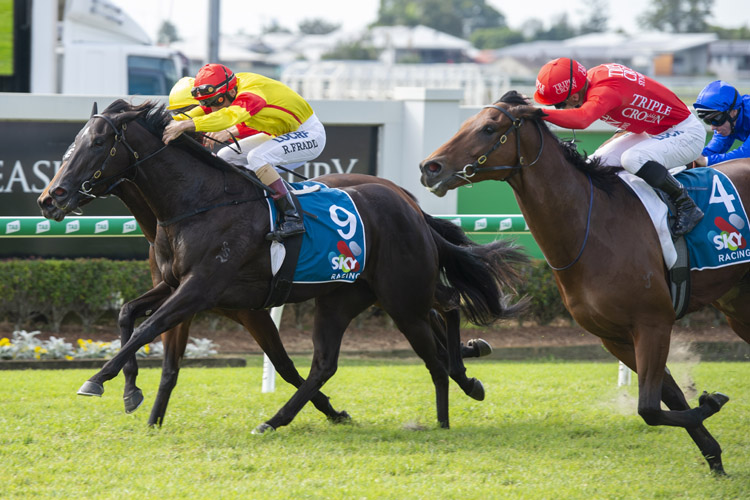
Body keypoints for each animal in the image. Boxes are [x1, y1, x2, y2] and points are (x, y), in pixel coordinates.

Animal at [41, 99, 528, 432]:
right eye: (72, 143)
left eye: (97, 143)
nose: (51, 197)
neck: (197, 202)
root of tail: (410, 206)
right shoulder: (182, 288)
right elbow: (139, 327)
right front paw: (138, 401)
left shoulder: (205, 290)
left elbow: (149, 329)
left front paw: (97, 380)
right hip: (349, 296)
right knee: (334, 359)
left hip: (401, 295)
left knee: (441, 316)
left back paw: (452, 395)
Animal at [420, 91, 750, 472]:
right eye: (466, 124)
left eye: (489, 128)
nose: (429, 168)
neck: (593, 228)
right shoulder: (614, 336)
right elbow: (669, 399)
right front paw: (713, 452)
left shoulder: (653, 323)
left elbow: (650, 408)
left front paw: (712, 404)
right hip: (738, 306)